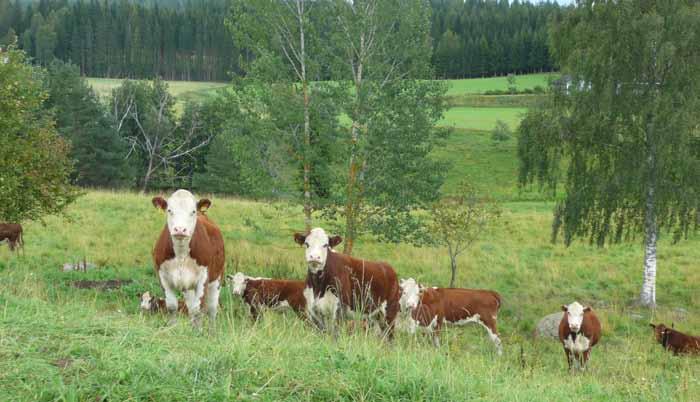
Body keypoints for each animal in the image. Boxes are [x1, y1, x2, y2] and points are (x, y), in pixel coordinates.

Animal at [152, 190, 226, 328]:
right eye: (169, 210)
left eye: (193, 211)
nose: (180, 229)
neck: (181, 255)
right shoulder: (162, 276)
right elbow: (172, 306)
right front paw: (172, 328)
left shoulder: (203, 278)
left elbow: (198, 309)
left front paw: (198, 332)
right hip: (188, 288)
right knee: (191, 307)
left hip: (217, 279)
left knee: (212, 309)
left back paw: (211, 330)